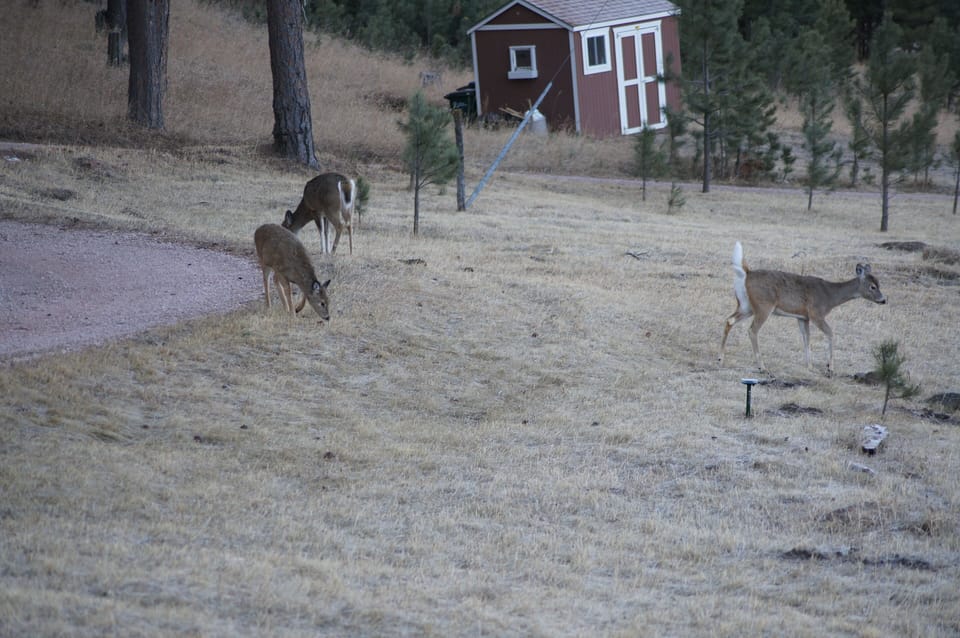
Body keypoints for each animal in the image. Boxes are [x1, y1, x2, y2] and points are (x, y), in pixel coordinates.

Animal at [719, 241, 886, 375]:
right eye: (872, 286)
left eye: (879, 283)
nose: (884, 300)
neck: (829, 296)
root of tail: (747, 273)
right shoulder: (816, 313)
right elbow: (830, 333)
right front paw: (829, 368)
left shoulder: (802, 317)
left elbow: (806, 339)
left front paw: (810, 367)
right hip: (764, 305)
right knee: (752, 330)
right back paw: (762, 367)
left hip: (746, 305)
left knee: (730, 320)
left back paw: (721, 358)